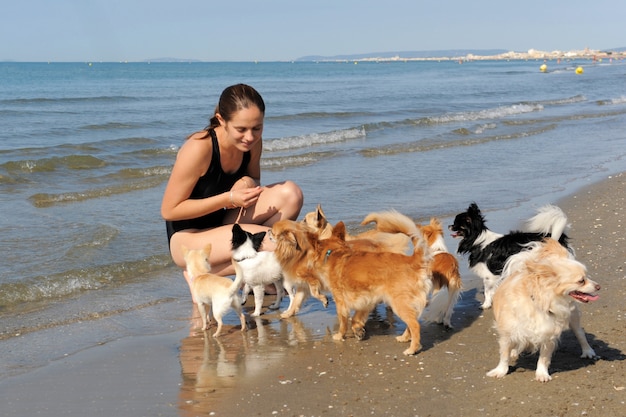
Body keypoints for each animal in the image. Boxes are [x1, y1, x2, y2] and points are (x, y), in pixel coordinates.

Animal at [486, 239, 596, 382]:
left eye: (586, 277)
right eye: (581, 281)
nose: (598, 286)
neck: (538, 303)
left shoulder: (548, 335)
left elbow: (543, 358)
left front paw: (542, 374)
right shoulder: (507, 333)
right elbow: (504, 355)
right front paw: (500, 371)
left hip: (573, 317)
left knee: (580, 334)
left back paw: (588, 351)